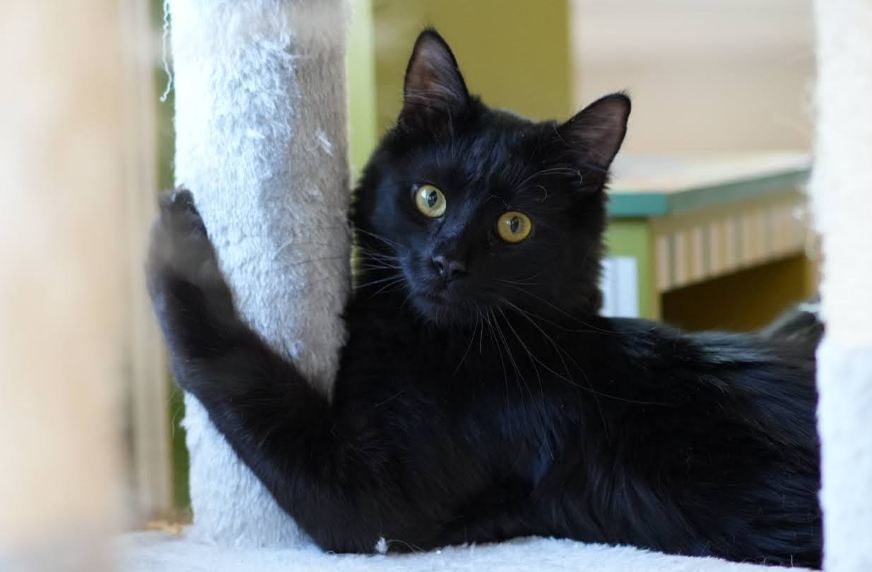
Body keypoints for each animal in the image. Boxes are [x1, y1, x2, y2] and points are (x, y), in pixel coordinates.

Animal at [146, 30, 820, 568]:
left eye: (514, 226)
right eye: (430, 198)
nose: (447, 262)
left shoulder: (376, 505)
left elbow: (241, 376)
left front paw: (173, 249)